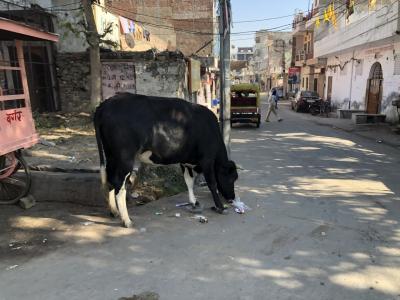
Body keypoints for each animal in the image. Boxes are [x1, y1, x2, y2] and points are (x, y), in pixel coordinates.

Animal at [94, 92, 238, 226]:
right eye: (232, 178)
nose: (232, 198)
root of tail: (106, 103)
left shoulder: (185, 161)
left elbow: (189, 181)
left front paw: (193, 201)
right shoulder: (207, 159)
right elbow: (212, 183)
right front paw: (220, 207)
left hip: (111, 155)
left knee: (111, 178)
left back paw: (114, 212)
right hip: (124, 158)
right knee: (119, 184)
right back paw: (127, 220)